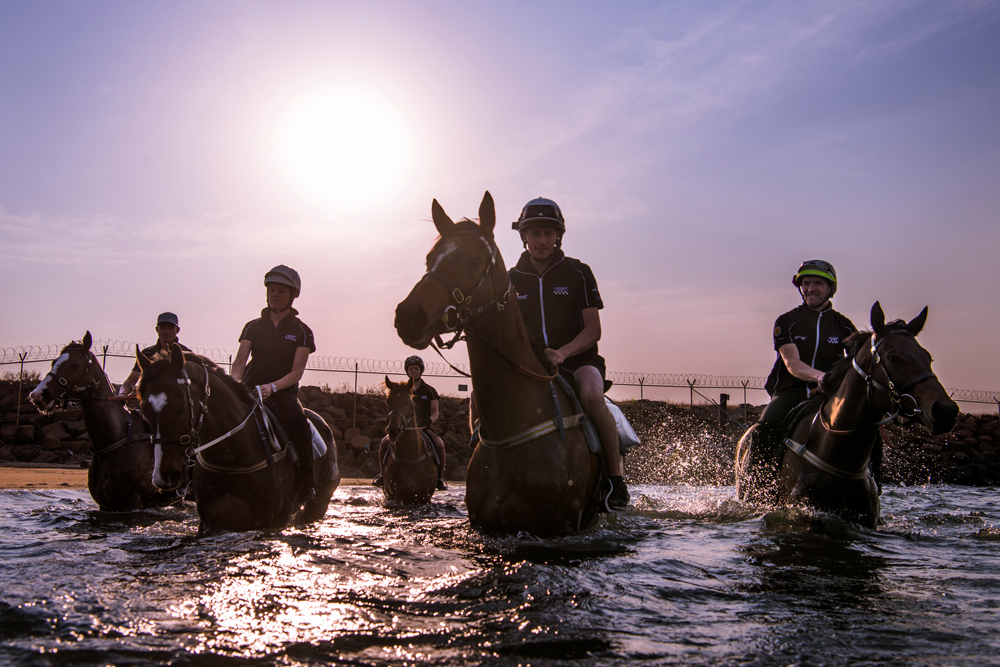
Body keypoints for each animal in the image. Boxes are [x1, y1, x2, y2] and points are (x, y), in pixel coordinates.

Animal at [26, 332, 181, 512]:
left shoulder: (133, 501)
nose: (38, 395)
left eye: (76, 364)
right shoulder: (105, 505)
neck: (116, 438)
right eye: (53, 362)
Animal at [135, 344, 342, 532]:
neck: (233, 456)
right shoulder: (211, 522)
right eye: (144, 410)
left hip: (319, 503)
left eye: (181, 406)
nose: (164, 476)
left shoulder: (271, 522)